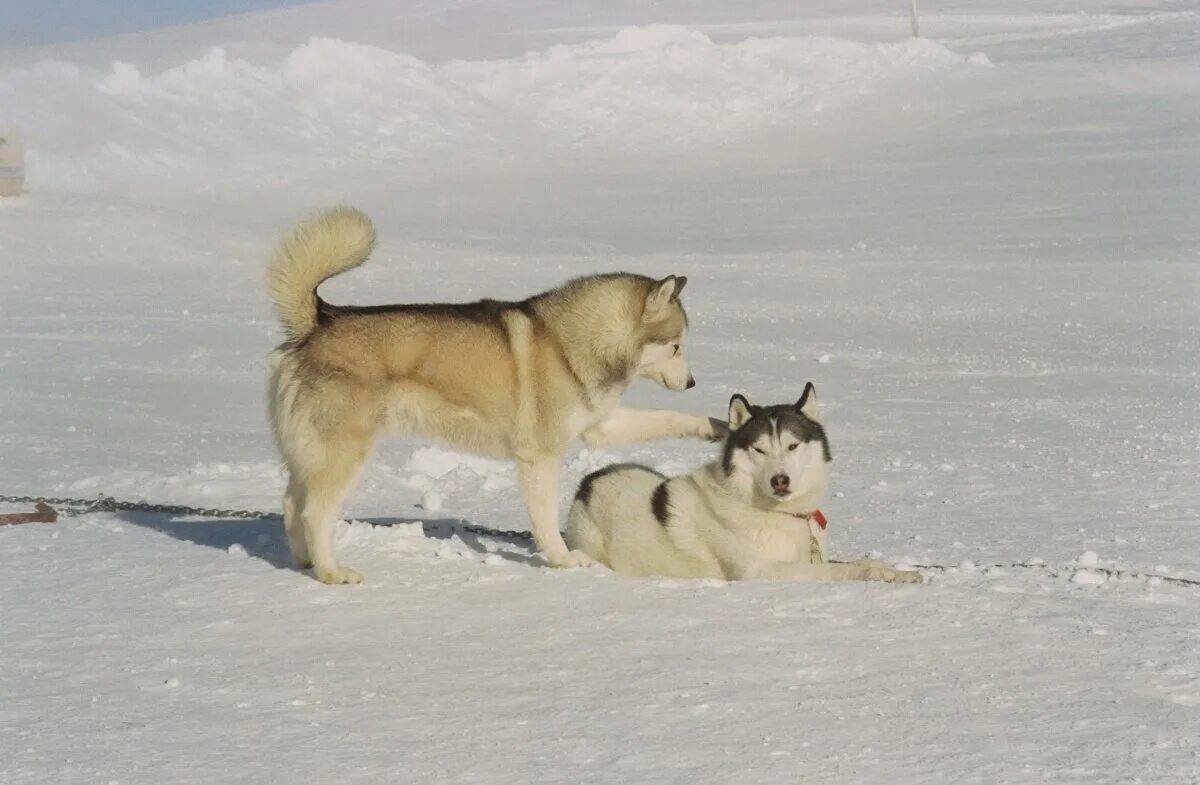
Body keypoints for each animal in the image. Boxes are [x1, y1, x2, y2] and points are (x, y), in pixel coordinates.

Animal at [270, 208, 720, 583]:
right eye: (676, 346)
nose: (692, 383)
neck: (570, 343)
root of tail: (318, 321)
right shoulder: (541, 456)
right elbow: (545, 519)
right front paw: (562, 560)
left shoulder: (599, 426)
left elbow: (666, 419)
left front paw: (713, 425)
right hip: (345, 452)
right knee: (313, 513)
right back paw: (332, 573)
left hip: (309, 454)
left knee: (291, 504)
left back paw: (305, 562)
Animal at [566, 386, 921, 583]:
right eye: (759, 449)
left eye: (793, 445)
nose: (780, 480)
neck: (778, 513)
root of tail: (589, 482)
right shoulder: (763, 572)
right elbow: (834, 572)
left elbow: (862, 562)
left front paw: (896, 573)